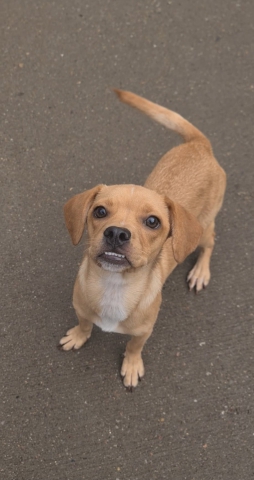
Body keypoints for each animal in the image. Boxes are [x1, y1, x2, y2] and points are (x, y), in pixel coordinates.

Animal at [59, 91, 226, 390]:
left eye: (152, 221)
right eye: (99, 211)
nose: (116, 233)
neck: (114, 286)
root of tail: (199, 144)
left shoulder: (144, 331)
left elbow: (134, 346)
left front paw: (132, 365)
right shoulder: (81, 309)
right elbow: (85, 324)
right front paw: (78, 336)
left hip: (205, 227)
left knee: (209, 244)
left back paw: (200, 271)